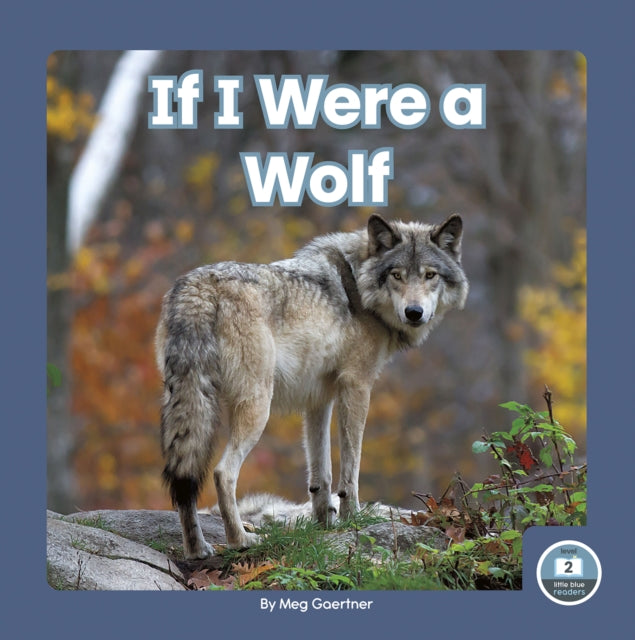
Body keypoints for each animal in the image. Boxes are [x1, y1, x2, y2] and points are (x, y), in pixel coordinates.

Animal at [156, 213, 468, 559]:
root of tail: (198, 287)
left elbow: (322, 474)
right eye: (397, 275)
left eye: (430, 275)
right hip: (257, 406)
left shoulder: (319, 399)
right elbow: (351, 469)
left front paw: (324, 524)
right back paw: (241, 540)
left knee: (184, 477)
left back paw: (197, 549)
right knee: (223, 472)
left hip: (187, 402)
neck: (358, 285)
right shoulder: (357, 386)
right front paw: (351, 519)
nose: (414, 313)